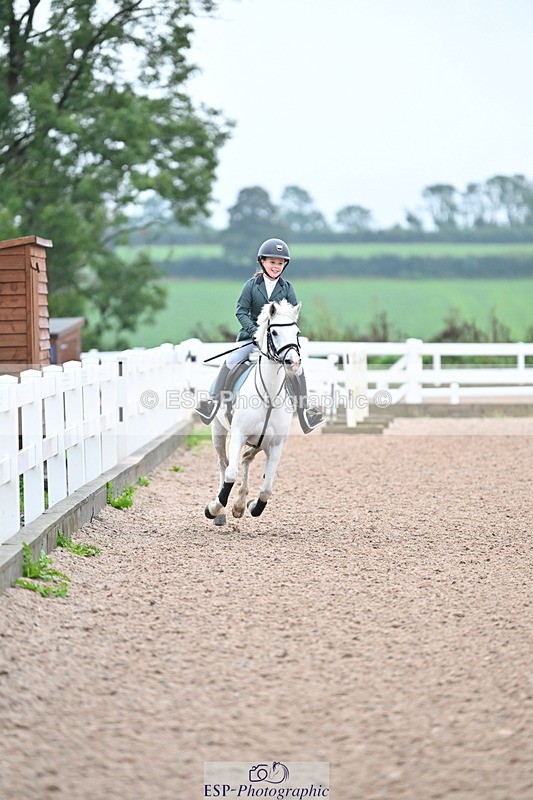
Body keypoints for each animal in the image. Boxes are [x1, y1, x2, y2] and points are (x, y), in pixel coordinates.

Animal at [204, 299, 302, 524]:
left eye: (297, 332)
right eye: (274, 332)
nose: (293, 362)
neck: (269, 395)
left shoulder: (275, 446)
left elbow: (267, 488)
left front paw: (251, 506)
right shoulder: (238, 435)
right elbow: (231, 473)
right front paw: (213, 508)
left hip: (259, 443)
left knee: (247, 458)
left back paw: (240, 504)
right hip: (218, 431)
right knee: (224, 464)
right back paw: (220, 513)